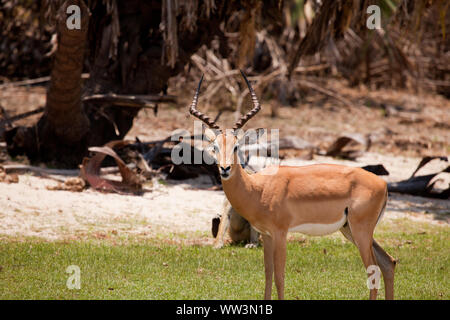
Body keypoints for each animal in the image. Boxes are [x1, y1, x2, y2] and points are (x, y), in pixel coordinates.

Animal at [188, 70, 396, 300]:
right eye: (214, 147)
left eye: (236, 146)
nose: (225, 169)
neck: (258, 189)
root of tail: (382, 184)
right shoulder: (267, 235)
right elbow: (268, 274)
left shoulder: (280, 233)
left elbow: (279, 277)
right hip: (350, 230)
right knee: (389, 263)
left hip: (360, 231)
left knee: (373, 269)